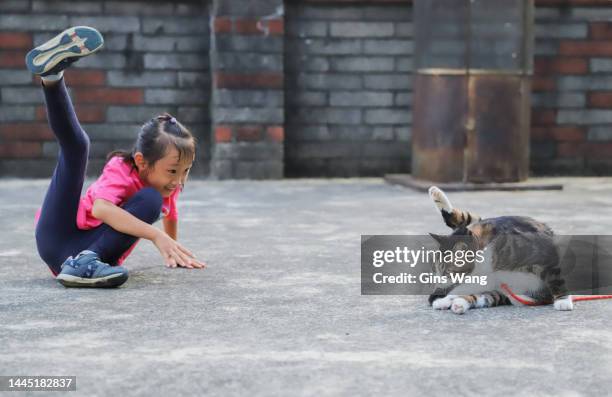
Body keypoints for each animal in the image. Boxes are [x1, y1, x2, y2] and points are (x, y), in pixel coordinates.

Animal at [426, 187, 572, 314]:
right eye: (435, 271)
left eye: (447, 272)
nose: (438, 284)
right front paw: (444, 299)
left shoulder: (543, 255)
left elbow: (555, 278)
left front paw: (563, 301)